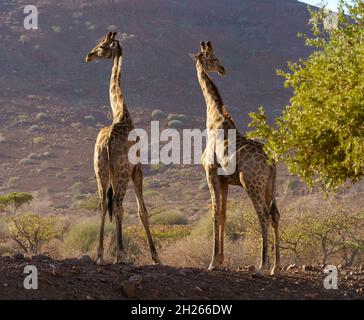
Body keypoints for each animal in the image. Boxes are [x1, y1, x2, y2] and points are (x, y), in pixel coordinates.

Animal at [86, 31, 160, 264]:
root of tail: (108, 143)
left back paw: (100, 255)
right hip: (122, 171)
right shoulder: (137, 169)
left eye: (102, 45)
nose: (89, 56)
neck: (121, 113)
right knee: (118, 205)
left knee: (103, 203)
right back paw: (120, 254)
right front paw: (156, 257)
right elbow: (142, 211)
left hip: (100, 169)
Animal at [191, 41, 282, 276]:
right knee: (275, 214)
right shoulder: (224, 181)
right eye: (213, 57)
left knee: (263, 215)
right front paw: (220, 260)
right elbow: (223, 214)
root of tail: (272, 163)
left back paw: (261, 266)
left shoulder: (211, 173)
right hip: (270, 185)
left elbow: (215, 214)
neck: (213, 119)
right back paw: (276, 267)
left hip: (251, 182)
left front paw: (213, 262)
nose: (223, 69)